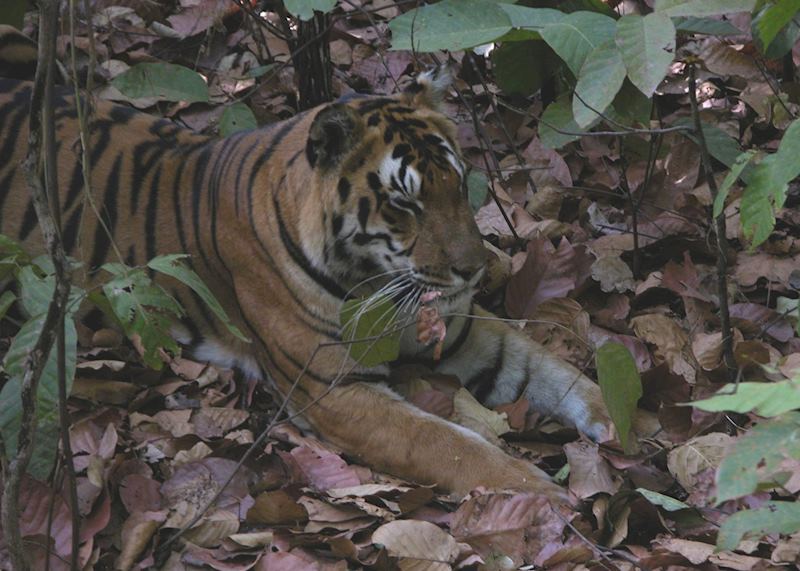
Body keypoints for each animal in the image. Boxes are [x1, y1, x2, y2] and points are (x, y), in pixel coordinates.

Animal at [0, 27, 657, 500]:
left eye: (459, 183)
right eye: (405, 203)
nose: (474, 270)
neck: (375, 280)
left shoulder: (462, 332)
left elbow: (552, 370)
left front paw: (629, 423)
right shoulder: (335, 390)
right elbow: (450, 445)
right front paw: (543, 495)